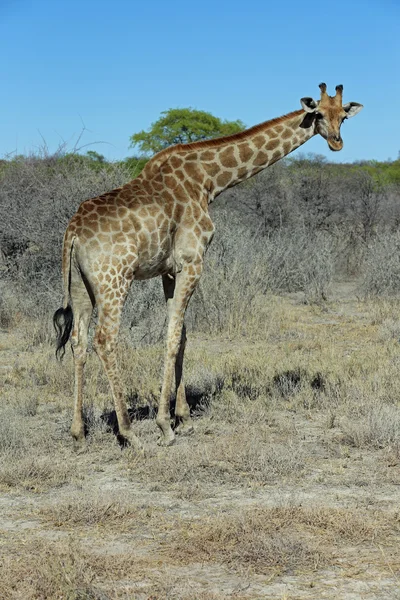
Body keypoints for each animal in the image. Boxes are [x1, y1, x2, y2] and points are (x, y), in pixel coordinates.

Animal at [54, 83, 364, 450]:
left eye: (343, 116)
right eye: (318, 114)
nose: (336, 142)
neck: (208, 180)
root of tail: (73, 231)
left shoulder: (169, 270)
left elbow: (183, 335)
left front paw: (184, 417)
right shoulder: (192, 261)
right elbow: (173, 335)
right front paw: (165, 425)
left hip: (81, 286)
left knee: (78, 340)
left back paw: (78, 432)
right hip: (115, 280)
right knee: (104, 339)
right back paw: (128, 432)